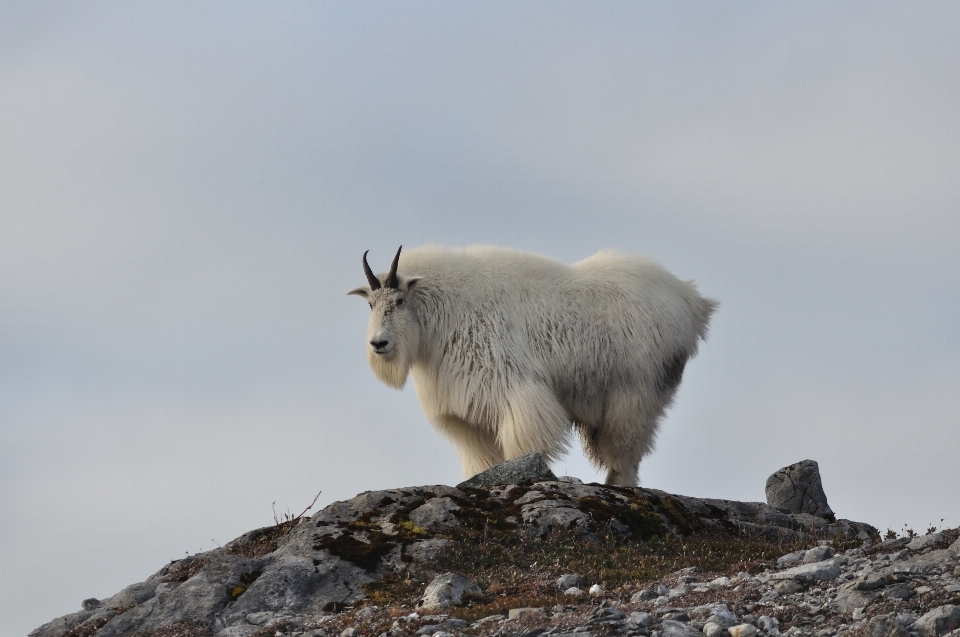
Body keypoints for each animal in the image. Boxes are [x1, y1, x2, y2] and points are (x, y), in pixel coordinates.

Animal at [346, 246, 712, 484]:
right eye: (370, 305)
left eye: (399, 300)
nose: (379, 344)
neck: (444, 311)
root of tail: (692, 301)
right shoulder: (464, 412)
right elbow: (482, 459)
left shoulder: (513, 387)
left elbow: (523, 442)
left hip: (636, 391)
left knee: (627, 447)